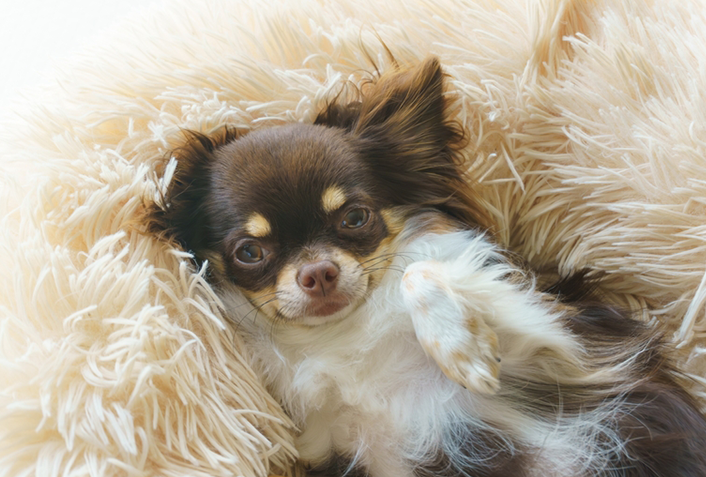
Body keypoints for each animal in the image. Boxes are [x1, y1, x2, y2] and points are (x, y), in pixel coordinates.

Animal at [148, 57, 704, 474]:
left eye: (355, 217)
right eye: (250, 252)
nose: (318, 272)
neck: (347, 338)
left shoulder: (567, 350)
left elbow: (418, 273)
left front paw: (462, 351)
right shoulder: (331, 445)